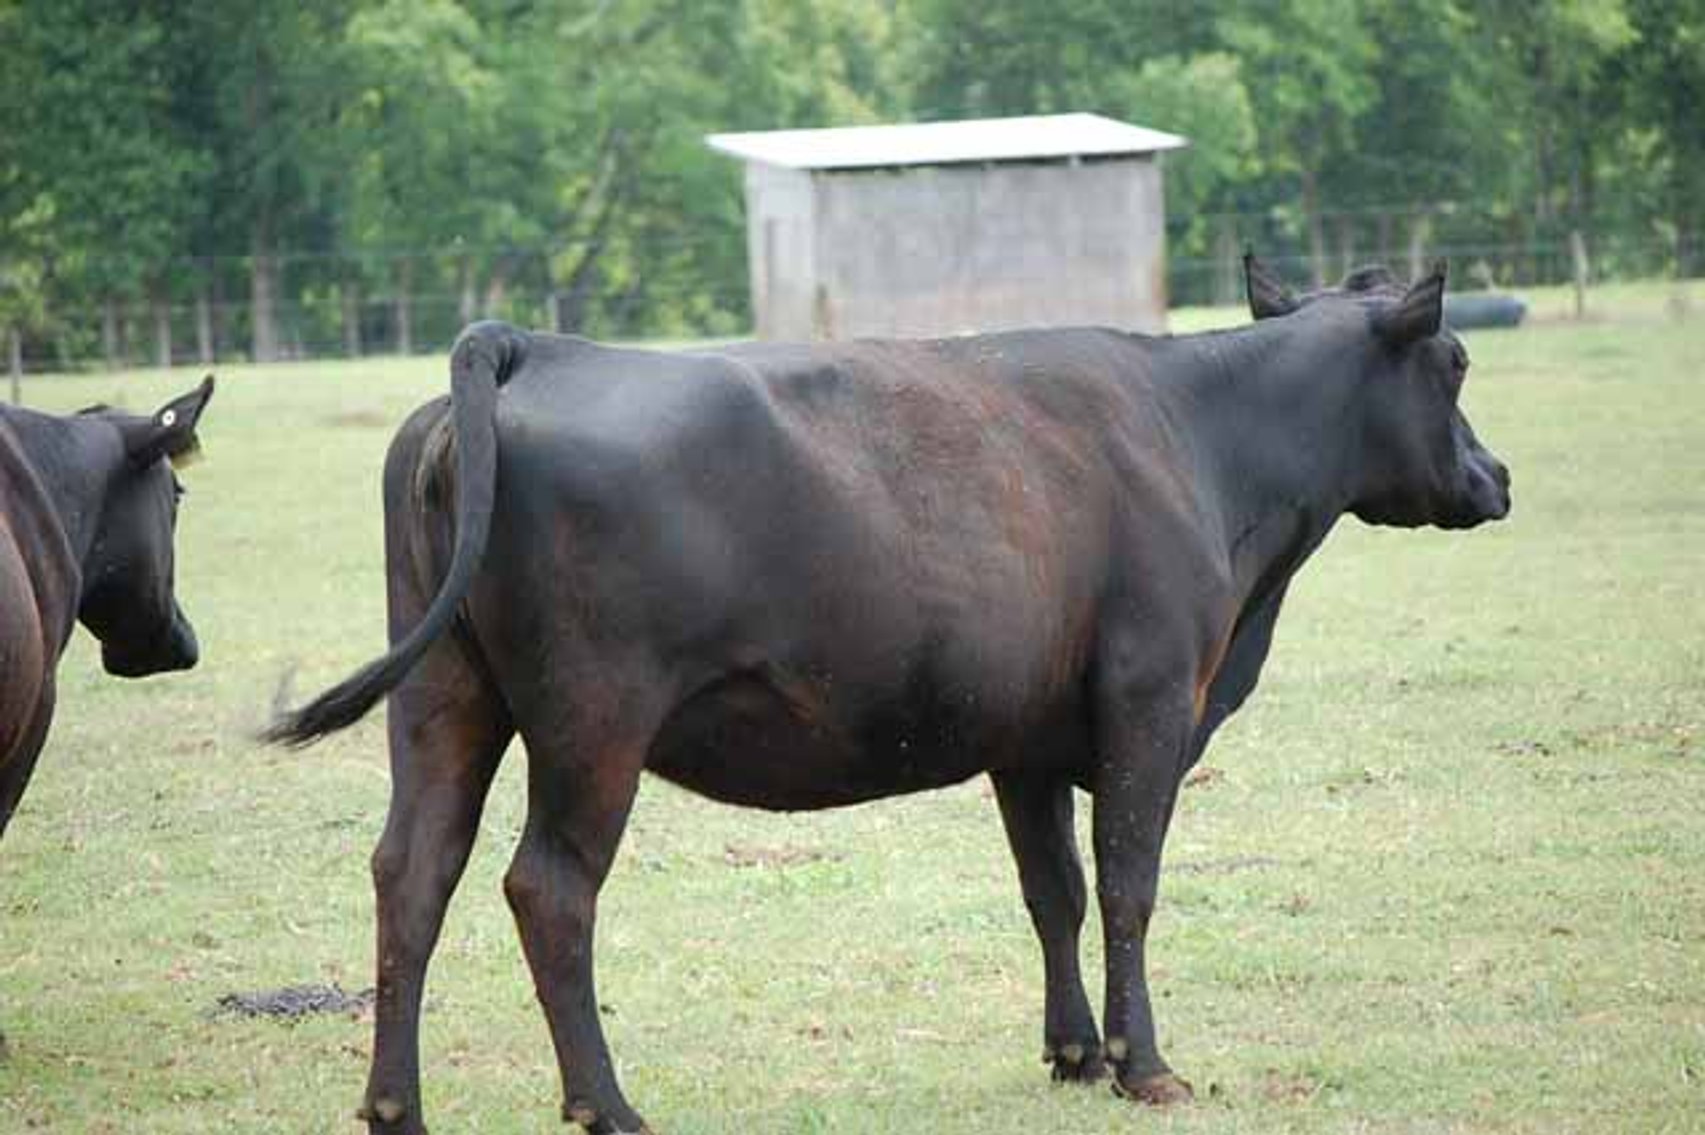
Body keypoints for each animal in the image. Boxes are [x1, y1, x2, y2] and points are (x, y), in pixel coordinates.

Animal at [266, 256, 1510, 1135]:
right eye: (1452, 361)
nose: (1496, 476)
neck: (1202, 442)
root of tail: (527, 344)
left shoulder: (1027, 739)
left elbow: (1052, 891)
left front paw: (1073, 1054)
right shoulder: (1150, 700)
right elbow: (1127, 886)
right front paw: (1144, 1067)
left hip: (443, 699)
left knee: (412, 871)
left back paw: (396, 1108)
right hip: (593, 725)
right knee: (549, 889)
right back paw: (607, 1105)